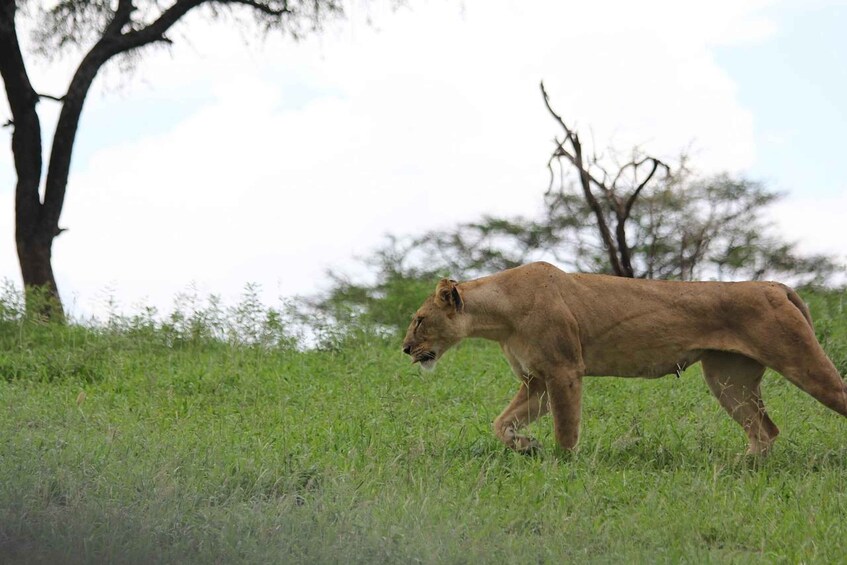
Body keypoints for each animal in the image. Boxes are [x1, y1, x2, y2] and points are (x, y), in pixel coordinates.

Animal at [402, 261, 847, 455]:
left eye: (419, 319)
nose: (405, 348)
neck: (500, 315)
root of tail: (775, 284)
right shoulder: (537, 380)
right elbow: (501, 423)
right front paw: (525, 445)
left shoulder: (563, 370)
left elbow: (566, 430)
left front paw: (561, 467)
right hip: (727, 378)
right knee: (764, 431)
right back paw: (740, 471)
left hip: (801, 360)